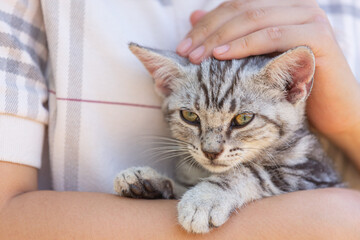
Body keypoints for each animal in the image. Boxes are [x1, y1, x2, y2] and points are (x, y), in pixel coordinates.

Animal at [114, 42, 342, 232]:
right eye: (190, 116)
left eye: (243, 118)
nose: (210, 152)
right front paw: (150, 180)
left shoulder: (319, 175)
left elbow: (252, 172)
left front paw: (204, 198)